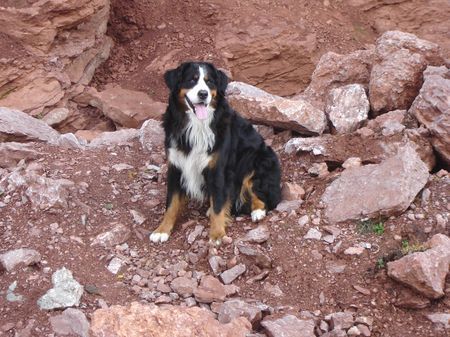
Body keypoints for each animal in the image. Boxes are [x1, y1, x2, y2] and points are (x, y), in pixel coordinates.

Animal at [149, 61, 280, 244]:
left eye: (209, 81)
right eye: (192, 80)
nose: (203, 94)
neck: (196, 125)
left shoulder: (218, 169)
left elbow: (218, 204)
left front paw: (217, 234)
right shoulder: (176, 166)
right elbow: (171, 203)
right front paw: (162, 230)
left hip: (258, 160)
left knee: (259, 192)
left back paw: (258, 211)